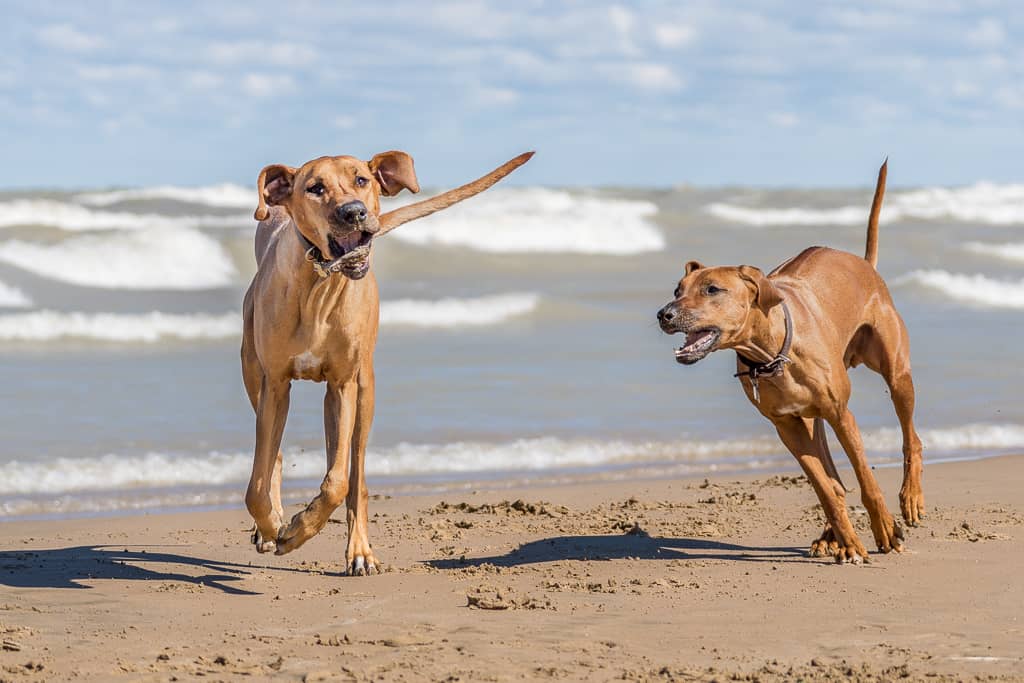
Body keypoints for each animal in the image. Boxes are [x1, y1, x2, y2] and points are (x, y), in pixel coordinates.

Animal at [659, 162, 925, 565]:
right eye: (677, 290)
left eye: (712, 290)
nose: (664, 314)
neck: (771, 355)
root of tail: (864, 264)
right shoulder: (787, 426)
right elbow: (826, 488)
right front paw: (849, 542)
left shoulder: (841, 412)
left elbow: (865, 479)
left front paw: (884, 530)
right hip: (813, 419)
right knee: (834, 478)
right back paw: (832, 537)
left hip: (896, 373)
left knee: (912, 438)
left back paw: (909, 499)